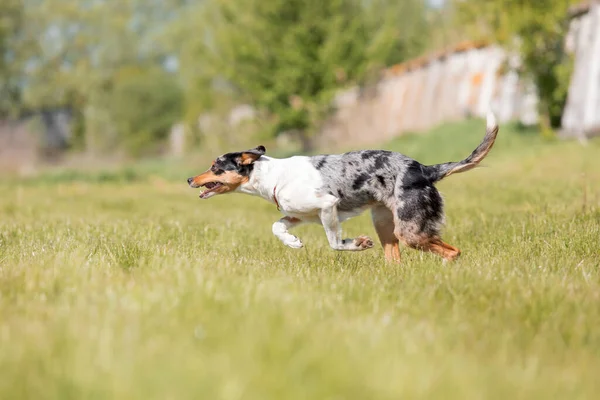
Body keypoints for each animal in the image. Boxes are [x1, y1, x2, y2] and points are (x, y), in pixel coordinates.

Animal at [188, 112, 496, 262]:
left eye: (215, 166)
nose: (189, 179)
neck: (274, 176)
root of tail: (425, 169)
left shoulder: (328, 206)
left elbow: (335, 243)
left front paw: (357, 244)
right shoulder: (300, 216)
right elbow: (277, 226)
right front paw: (293, 242)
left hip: (410, 231)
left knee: (453, 252)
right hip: (385, 224)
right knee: (395, 260)